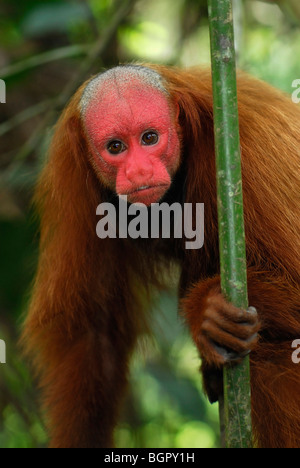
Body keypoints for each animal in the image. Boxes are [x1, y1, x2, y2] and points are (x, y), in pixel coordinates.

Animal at [22, 64, 300, 448]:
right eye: (116, 147)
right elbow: (92, 332)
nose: (139, 171)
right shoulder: (74, 177)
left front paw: (205, 310)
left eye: (150, 138)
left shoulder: (251, 159)